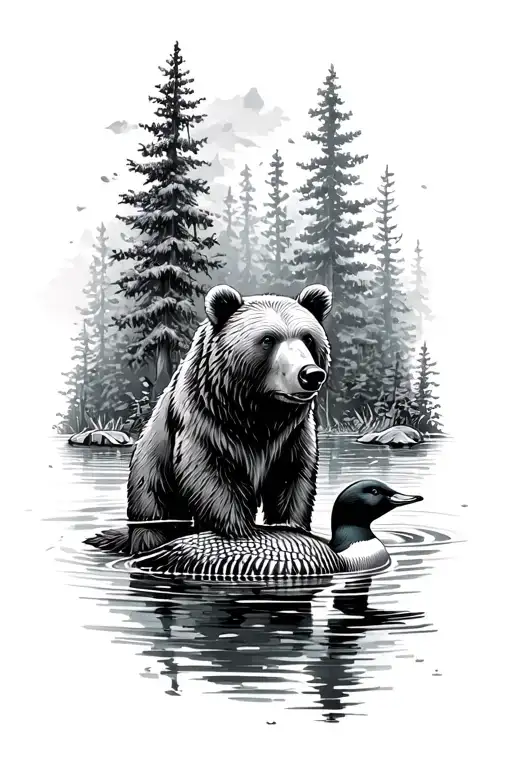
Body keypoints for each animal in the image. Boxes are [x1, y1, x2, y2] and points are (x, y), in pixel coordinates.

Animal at [85, 282, 332, 556]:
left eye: (308, 338)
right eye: (268, 339)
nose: (310, 374)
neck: (258, 411)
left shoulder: (291, 435)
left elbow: (292, 480)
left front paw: (290, 527)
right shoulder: (206, 423)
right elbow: (209, 475)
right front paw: (238, 530)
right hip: (151, 473)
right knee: (155, 511)